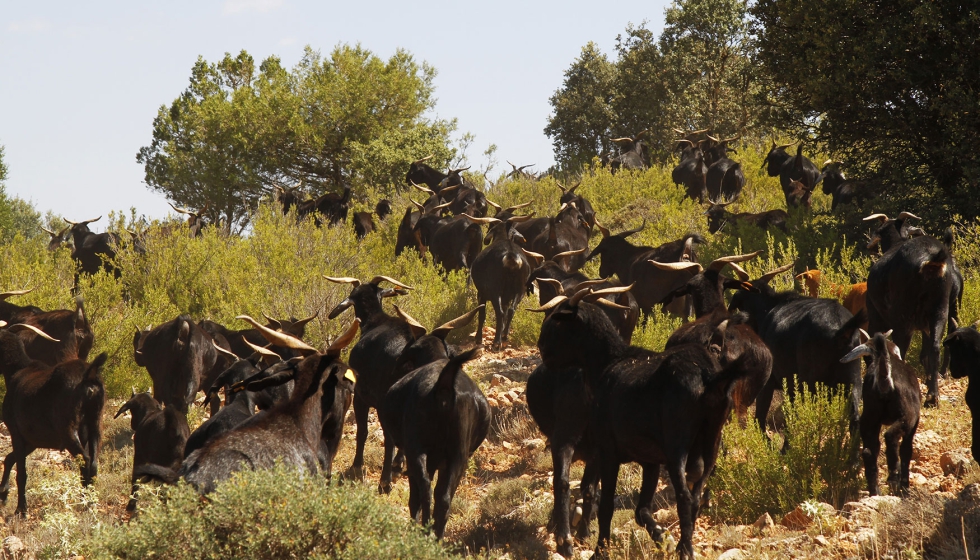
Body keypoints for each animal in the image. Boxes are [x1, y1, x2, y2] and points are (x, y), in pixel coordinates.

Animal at [0, 324, 105, 512]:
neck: (17, 371)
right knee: (93, 463)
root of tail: (89, 375)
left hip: (68, 430)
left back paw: (84, 502)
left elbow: (21, 473)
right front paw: (3, 494)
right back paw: (90, 503)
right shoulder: (32, 440)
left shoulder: (16, 432)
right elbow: (10, 458)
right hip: (95, 424)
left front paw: (21, 510)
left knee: (85, 461)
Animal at [380, 348, 490, 536]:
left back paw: (425, 530)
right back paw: (436, 537)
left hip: (417, 451)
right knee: (444, 497)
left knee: (425, 490)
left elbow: (415, 497)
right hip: (458, 457)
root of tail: (444, 387)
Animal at [844, 328, 920, 494]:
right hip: (907, 417)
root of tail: (885, 380)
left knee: (869, 451)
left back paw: (875, 491)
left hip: (869, 418)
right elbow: (906, 451)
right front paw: (905, 487)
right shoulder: (913, 424)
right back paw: (893, 478)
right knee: (890, 437)